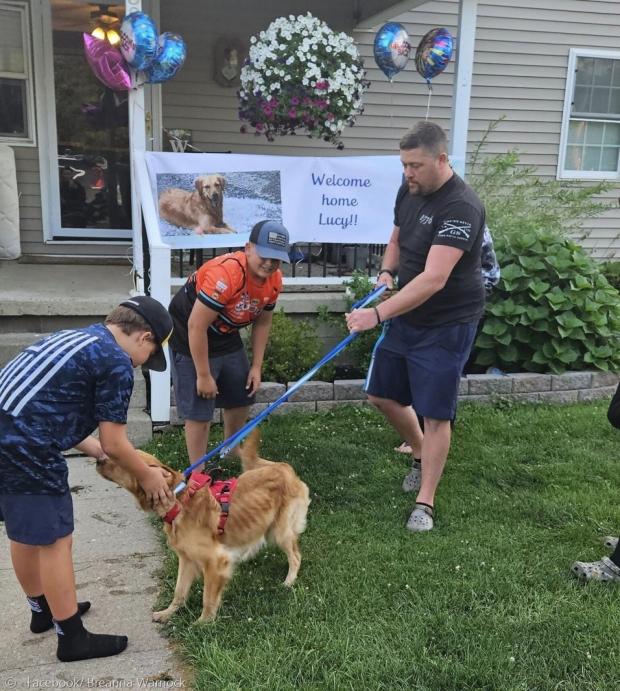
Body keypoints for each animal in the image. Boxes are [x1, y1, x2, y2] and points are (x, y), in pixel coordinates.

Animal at [97, 430, 310, 624]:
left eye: (120, 459)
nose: (98, 459)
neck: (178, 502)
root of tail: (282, 466)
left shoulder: (216, 562)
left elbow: (207, 597)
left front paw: (203, 623)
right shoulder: (186, 559)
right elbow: (179, 591)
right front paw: (168, 613)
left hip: (279, 532)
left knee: (296, 556)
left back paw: (288, 582)